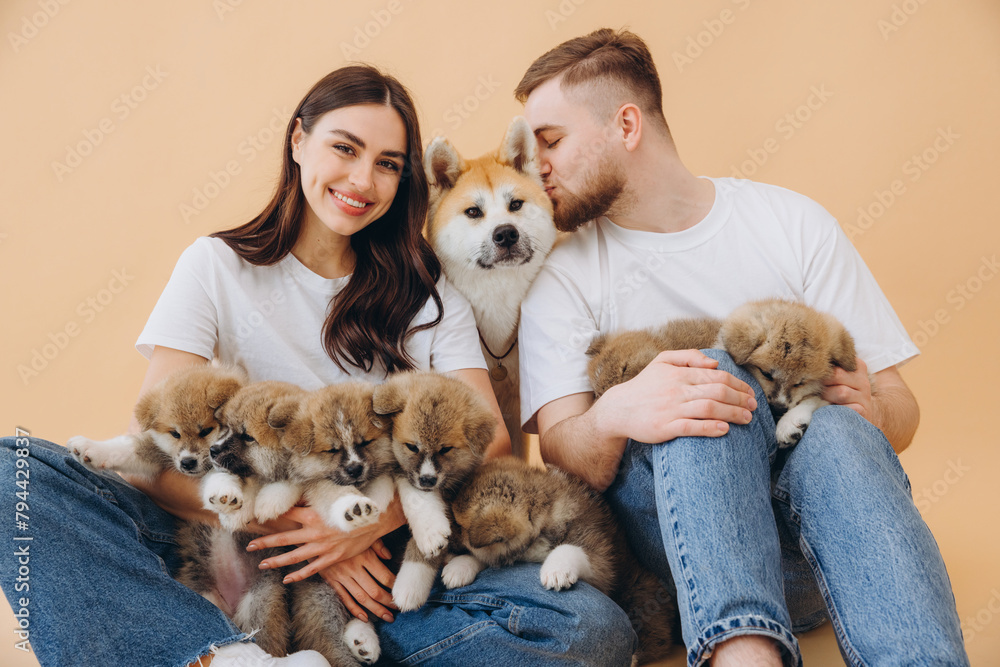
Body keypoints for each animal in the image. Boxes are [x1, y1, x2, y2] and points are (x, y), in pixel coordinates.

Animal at [67, 366, 246, 480]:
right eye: (175, 434)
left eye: (206, 431)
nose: (187, 463)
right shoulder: (158, 451)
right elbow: (127, 448)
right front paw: (91, 447)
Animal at [372, 374, 496, 612]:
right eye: (412, 446)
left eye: (445, 449)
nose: (427, 480)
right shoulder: (406, 472)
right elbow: (417, 497)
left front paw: (410, 584)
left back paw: (460, 568)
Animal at [448, 460, 676, 667]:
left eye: (459, 525)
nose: (445, 541)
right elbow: (481, 558)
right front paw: (458, 568)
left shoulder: (600, 562)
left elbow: (569, 548)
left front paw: (556, 570)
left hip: (638, 594)